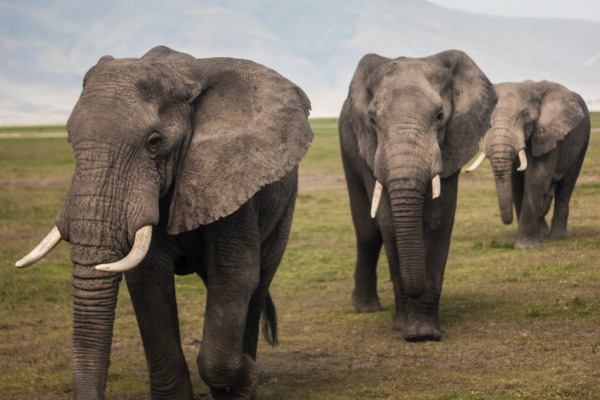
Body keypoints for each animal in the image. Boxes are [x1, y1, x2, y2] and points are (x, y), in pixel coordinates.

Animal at [14, 45, 314, 398]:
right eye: (70, 140)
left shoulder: (231, 176)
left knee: (259, 282)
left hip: (285, 204)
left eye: (154, 143)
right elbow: (148, 282)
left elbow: (235, 276)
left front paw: (245, 376)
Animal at [338, 49, 496, 340]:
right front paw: (405, 328)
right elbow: (388, 223)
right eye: (372, 120)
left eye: (440, 116)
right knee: (367, 232)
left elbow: (438, 221)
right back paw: (366, 308)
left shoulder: (452, 143)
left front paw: (423, 333)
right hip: (348, 146)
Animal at [466, 79, 588, 248]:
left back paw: (558, 236)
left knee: (566, 186)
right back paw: (544, 233)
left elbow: (537, 176)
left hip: (582, 142)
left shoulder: (547, 135)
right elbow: (516, 183)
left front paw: (525, 246)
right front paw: (536, 238)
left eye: (525, 116)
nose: (507, 221)